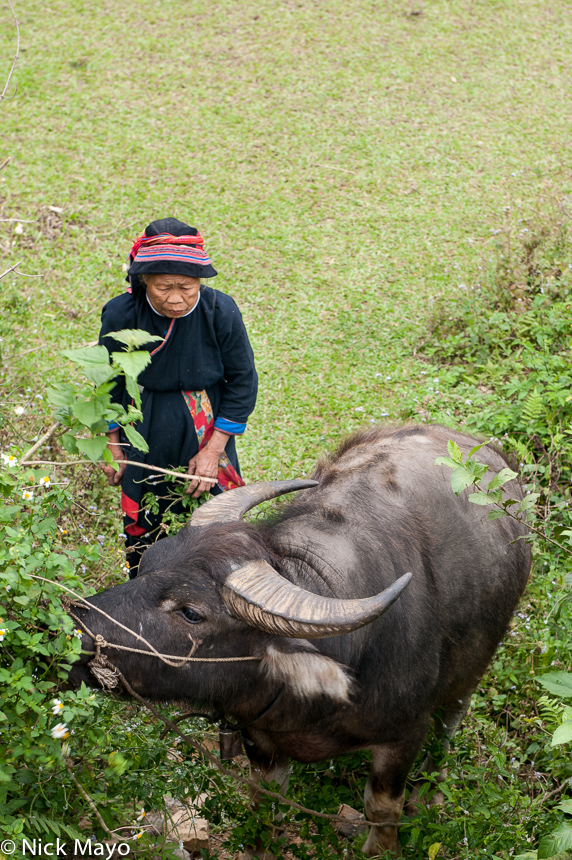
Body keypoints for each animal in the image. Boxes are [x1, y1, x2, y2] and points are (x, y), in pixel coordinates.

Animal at [70, 426, 532, 856]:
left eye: (191, 612)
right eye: (148, 561)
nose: (77, 627)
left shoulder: (404, 737)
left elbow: (382, 810)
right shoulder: (261, 739)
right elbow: (264, 805)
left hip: (469, 677)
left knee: (447, 730)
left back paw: (431, 791)